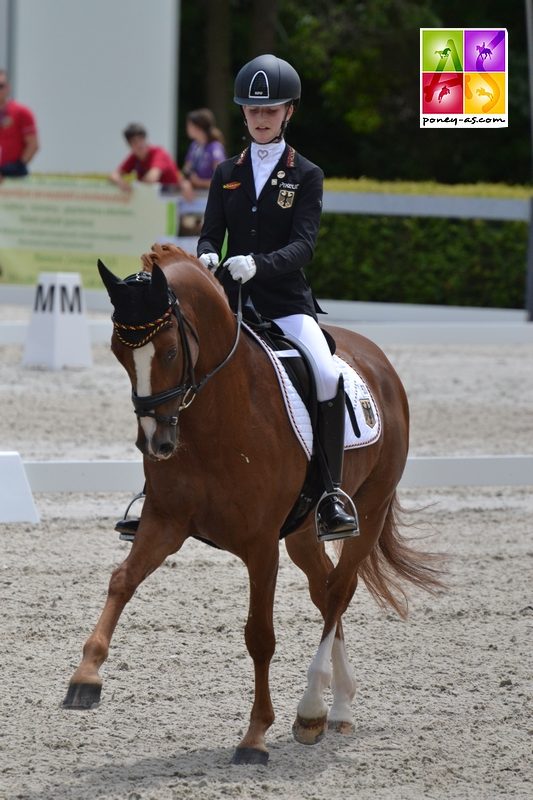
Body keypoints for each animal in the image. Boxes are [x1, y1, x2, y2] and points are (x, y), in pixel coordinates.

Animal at [63, 247, 436, 764]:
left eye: (171, 352)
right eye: (119, 353)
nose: (155, 443)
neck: (217, 412)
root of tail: (380, 361)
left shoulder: (261, 545)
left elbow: (259, 635)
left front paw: (255, 736)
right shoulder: (164, 521)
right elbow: (122, 581)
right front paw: (85, 678)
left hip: (370, 508)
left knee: (340, 591)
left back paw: (311, 710)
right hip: (301, 533)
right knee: (325, 591)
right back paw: (338, 708)